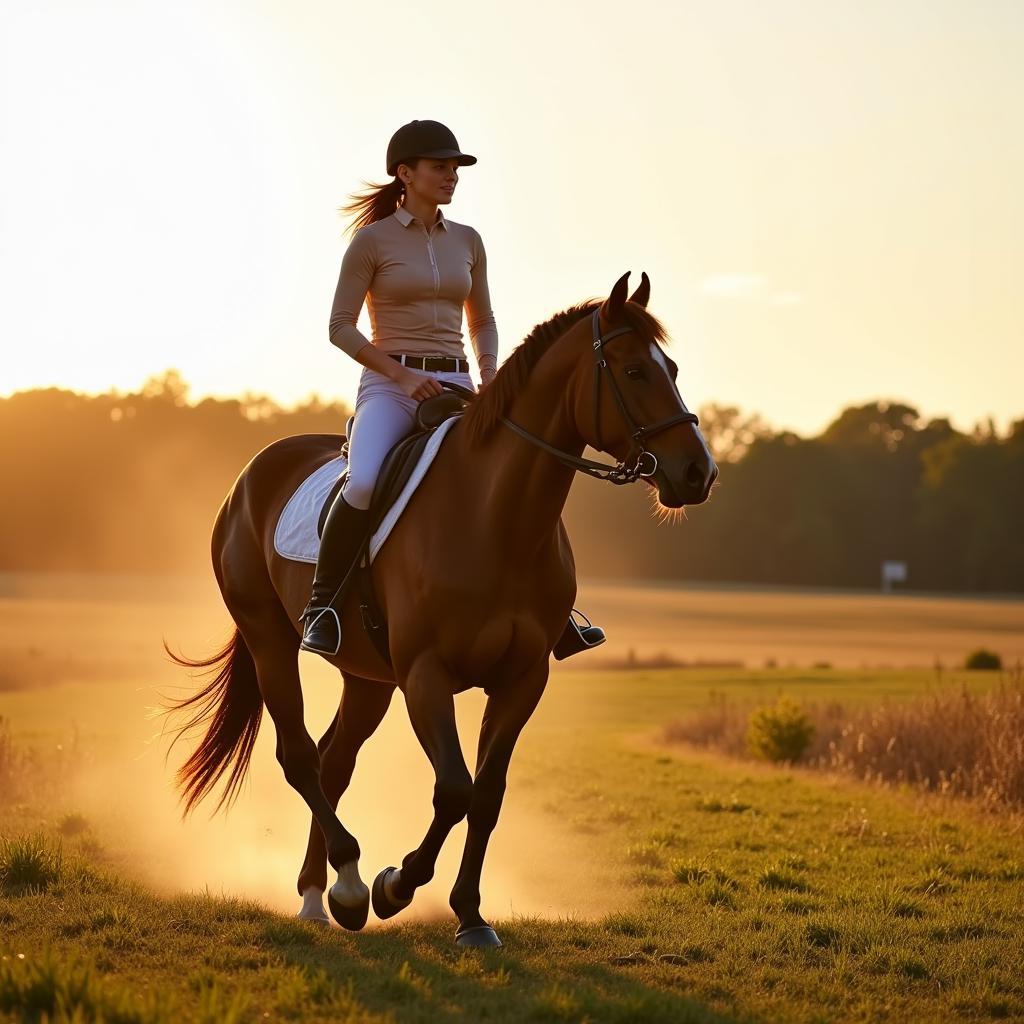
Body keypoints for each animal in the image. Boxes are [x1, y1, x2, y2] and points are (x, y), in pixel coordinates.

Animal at [163, 270, 716, 942]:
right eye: (635, 371)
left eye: (673, 368)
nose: (698, 473)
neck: (495, 519)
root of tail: (251, 475)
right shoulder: (426, 674)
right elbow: (453, 788)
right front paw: (394, 886)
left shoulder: (522, 678)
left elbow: (487, 795)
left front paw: (471, 915)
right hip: (271, 640)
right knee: (299, 757)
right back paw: (350, 885)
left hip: (367, 676)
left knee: (333, 762)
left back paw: (321, 892)